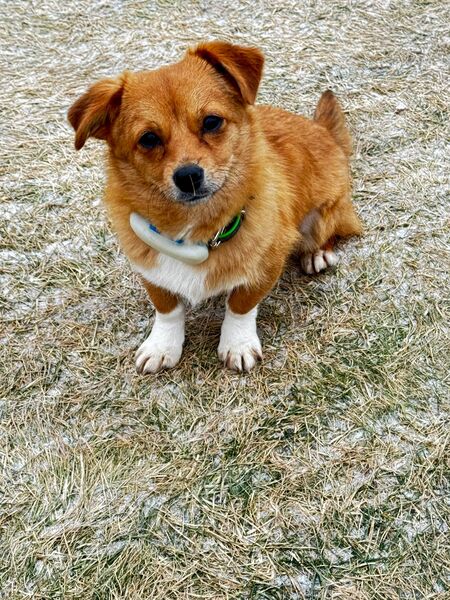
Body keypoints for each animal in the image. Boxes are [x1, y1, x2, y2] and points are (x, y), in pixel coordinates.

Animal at [68, 41, 362, 373]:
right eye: (148, 138)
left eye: (211, 122)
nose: (188, 176)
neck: (195, 229)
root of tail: (323, 131)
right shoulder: (149, 267)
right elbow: (167, 309)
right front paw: (162, 345)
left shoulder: (265, 266)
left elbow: (241, 305)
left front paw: (237, 343)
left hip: (323, 215)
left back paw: (317, 254)